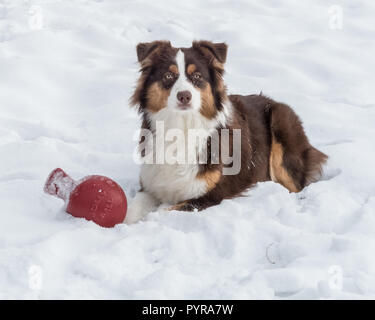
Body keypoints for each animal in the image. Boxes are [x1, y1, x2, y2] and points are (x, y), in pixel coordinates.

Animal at [124, 40, 328, 225]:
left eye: (197, 76)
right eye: (168, 75)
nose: (184, 96)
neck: (181, 128)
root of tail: (274, 101)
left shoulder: (212, 195)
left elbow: (163, 213)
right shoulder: (150, 186)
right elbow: (130, 212)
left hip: (281, 120)